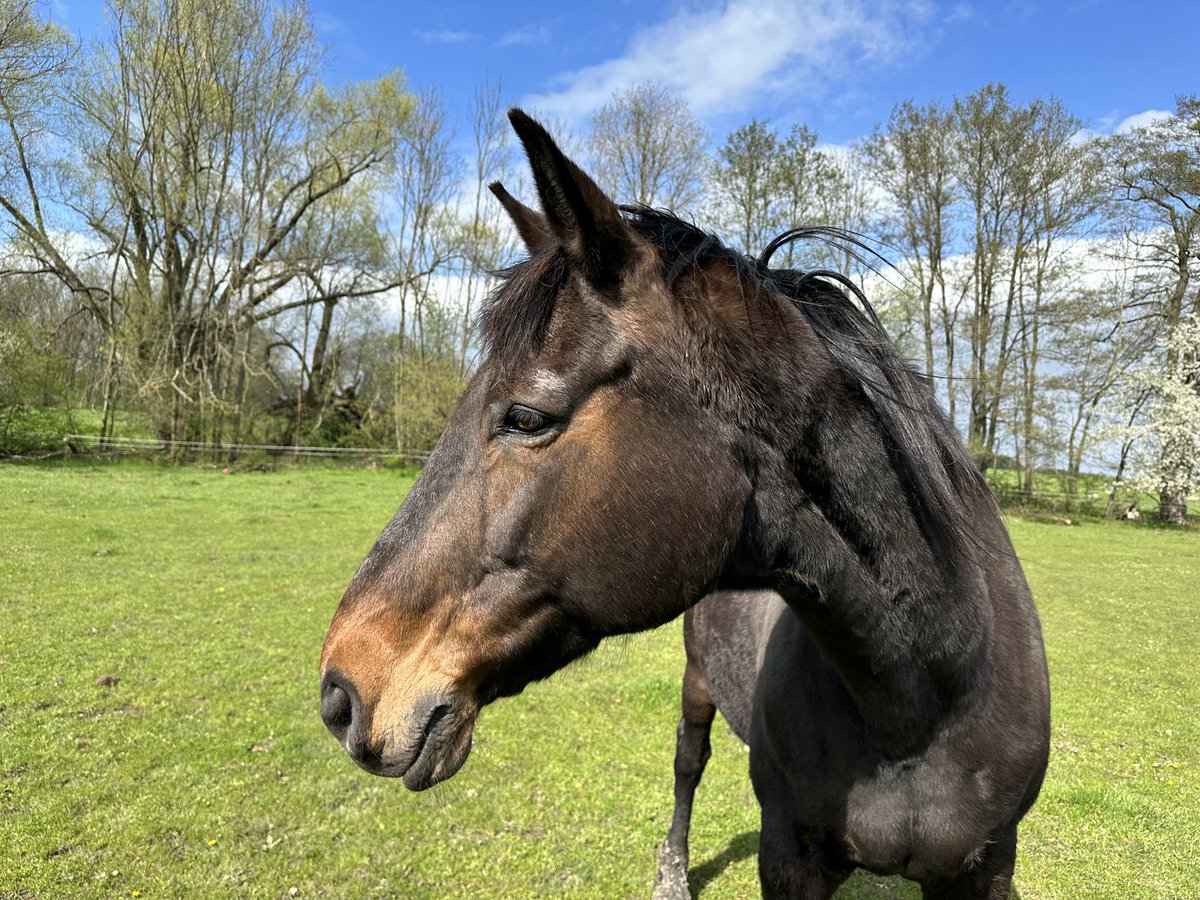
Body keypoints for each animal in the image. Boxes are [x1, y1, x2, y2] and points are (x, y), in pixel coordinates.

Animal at [319, 109, 1050, 899]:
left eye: (525, 417)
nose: (340, 693)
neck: (922, 696)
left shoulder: (986, 868)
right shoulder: (789, 856)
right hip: (697, 683)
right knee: (687, 763)